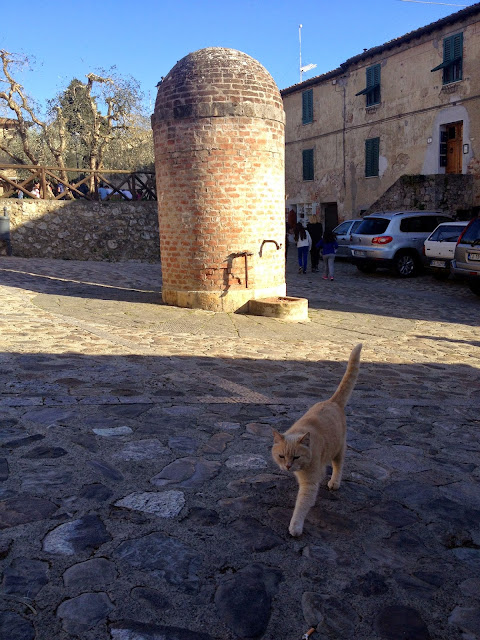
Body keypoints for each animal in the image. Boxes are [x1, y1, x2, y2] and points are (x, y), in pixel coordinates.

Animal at [272, 344, 362, 536]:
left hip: (339, 449)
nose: (288, 466)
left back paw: (334, 482)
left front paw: (295, 526)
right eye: (281, 456)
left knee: (338, 466)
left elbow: (301, 505)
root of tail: (332, 401)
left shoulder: (309, 483)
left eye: (296, 457)